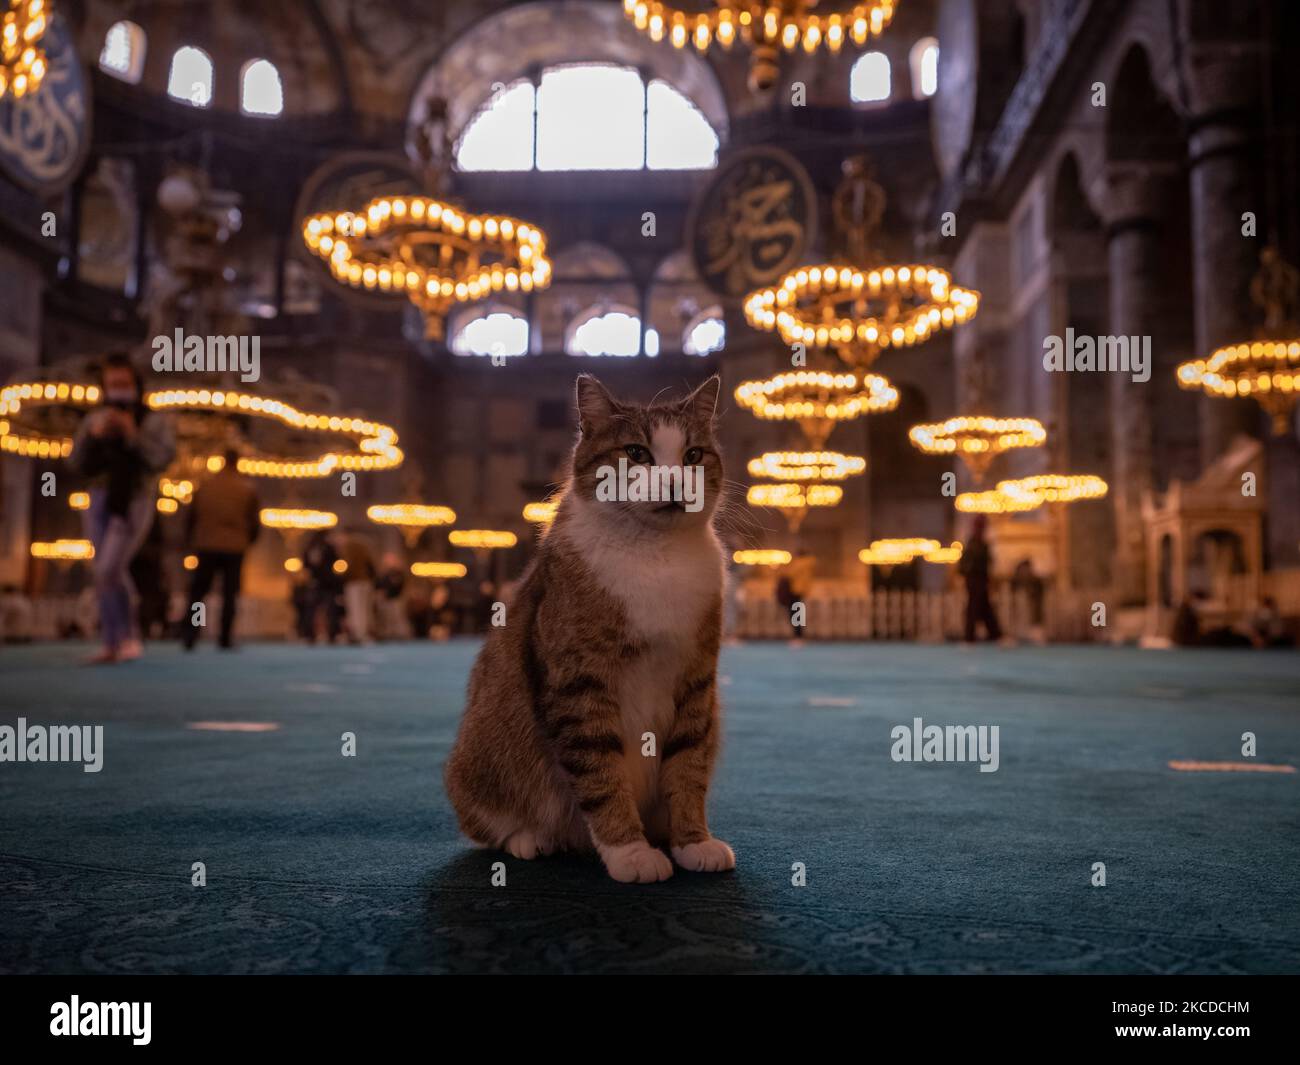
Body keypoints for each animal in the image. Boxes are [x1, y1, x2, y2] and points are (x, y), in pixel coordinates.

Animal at [444, 374, 733, 884]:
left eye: (694, 455)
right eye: (637, 453)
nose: (675, 481)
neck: (655, 556)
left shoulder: (697, 680)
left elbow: (688, 767)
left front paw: (692, 842)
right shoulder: (578, 681)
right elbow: (601, 772)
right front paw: (630, 852)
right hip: (481, 756)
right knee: (490, 825)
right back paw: (530, 838)